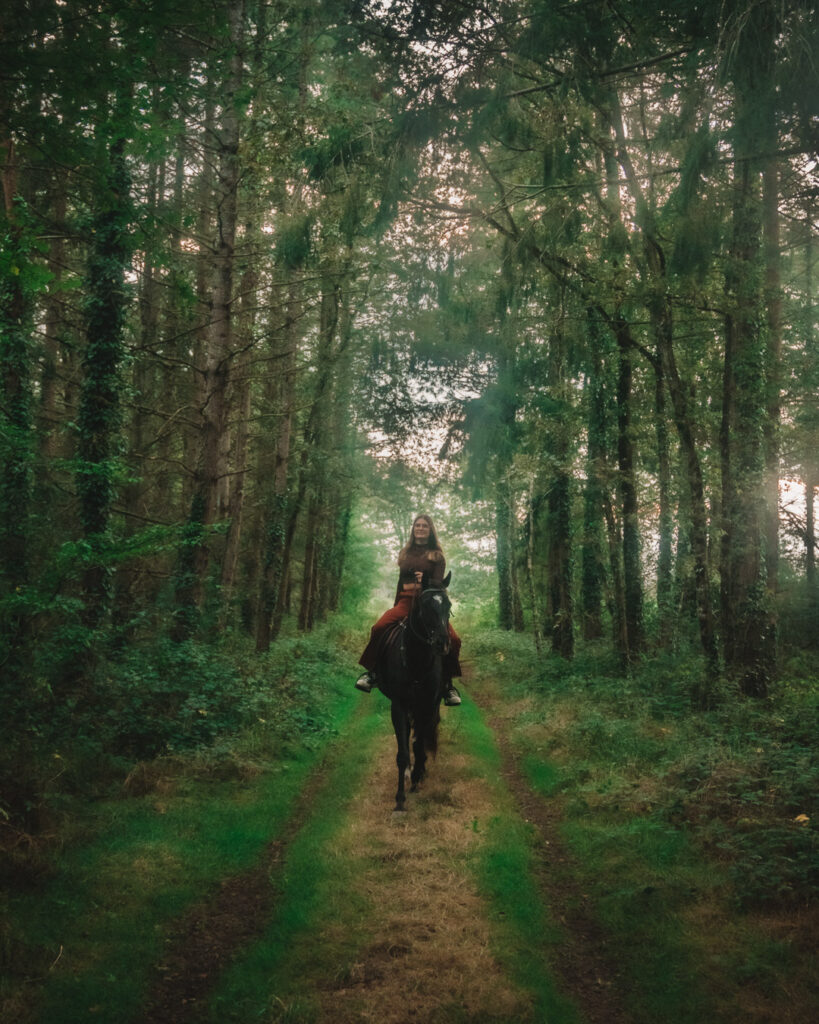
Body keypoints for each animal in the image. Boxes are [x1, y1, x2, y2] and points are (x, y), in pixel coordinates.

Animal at [372, 573, 450, 811]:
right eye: (426, 606)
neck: (417, 660)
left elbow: (419, 743)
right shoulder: (398, 705)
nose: (443, 643)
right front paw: (399, 799)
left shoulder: (427, 705)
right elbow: (403, 752)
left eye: (449, 606)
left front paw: (416, 777)